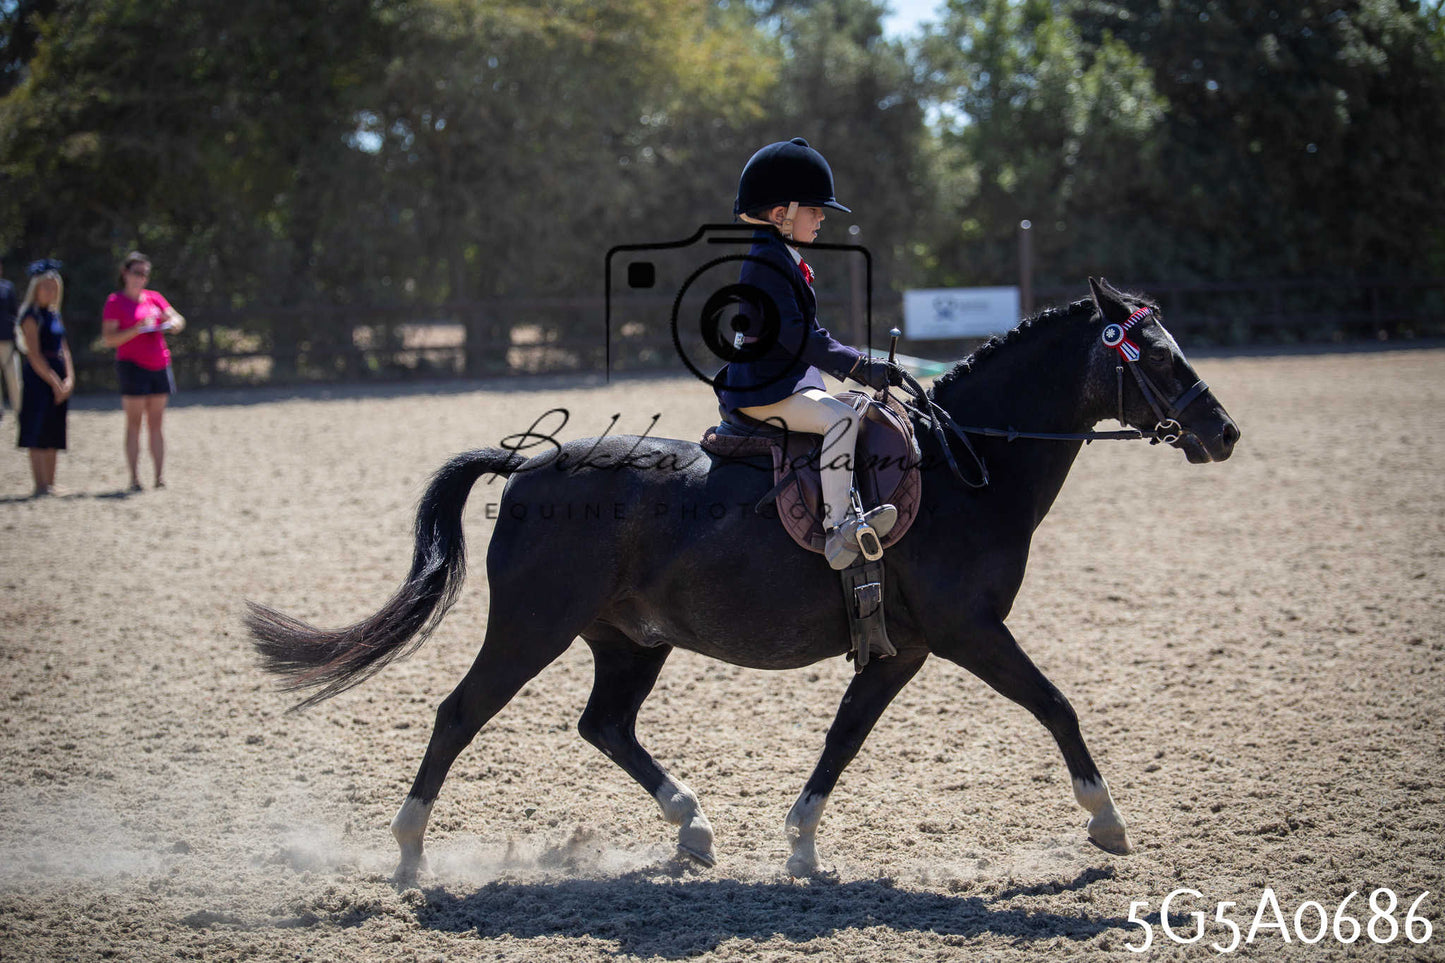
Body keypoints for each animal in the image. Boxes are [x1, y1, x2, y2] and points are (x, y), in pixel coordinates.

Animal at [247, 277, 1239, 883]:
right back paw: (410, 852)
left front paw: (799, 843)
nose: (1223, 431)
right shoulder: (968, 632)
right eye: (1155, 355)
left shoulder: (903, 648)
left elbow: (844, 737)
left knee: (604, 724)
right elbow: (1056, 705)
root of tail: (531, 466)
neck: (971, 465)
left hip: (629, 641)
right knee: (459, 714)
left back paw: (692, 826)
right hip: (531, 629)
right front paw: (1105, 820)